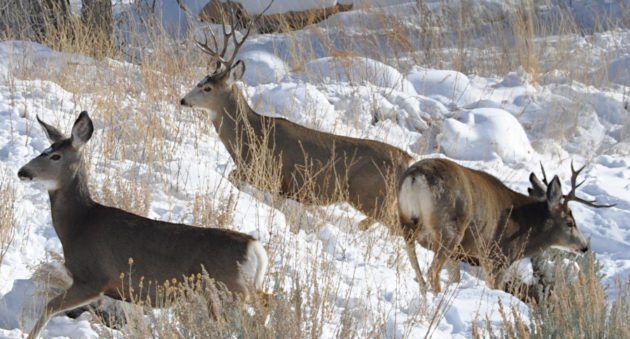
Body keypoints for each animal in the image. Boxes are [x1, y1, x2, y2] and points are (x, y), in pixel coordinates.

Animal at [17, 113, 270, 338]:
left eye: (55, 156)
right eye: (44, 151)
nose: (22, 171)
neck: (78, 224)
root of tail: (255, 247)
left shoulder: (93, 279)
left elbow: (49, 306)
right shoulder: (126, 293)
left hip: (227, 290)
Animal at [180, 0, 414, 231]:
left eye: (207, 87)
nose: (183, 100)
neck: (249, 136)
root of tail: (407, 160)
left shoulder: (269, 175)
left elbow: (233, 176)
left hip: (371, 195)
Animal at [400, 159, 612, 294]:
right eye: (570, 222)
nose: (584, 246)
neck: (525, 224)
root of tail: (415, 177)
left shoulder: (459, 255)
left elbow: (455, 278)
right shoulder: (497, 256)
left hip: (407, 223)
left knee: (417, 268)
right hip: (449, 231)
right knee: (432, 272)